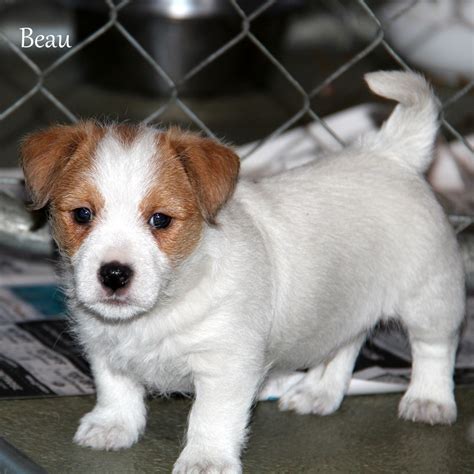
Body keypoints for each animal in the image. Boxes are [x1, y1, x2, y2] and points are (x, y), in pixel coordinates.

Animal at [20, 71, 464, 474]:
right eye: (82, 214)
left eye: (160, 219)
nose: (113, 275)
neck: (164, 306)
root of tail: (389, 153)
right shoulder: (104, 347)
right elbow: (116, 388)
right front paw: (114, 426)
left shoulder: (226, 366)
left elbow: (210, 418)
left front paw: (206, 460)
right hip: (345, 303)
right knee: (347, 343)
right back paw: (319, 392)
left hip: (429, 296)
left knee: (435, 347)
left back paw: (429, 400)